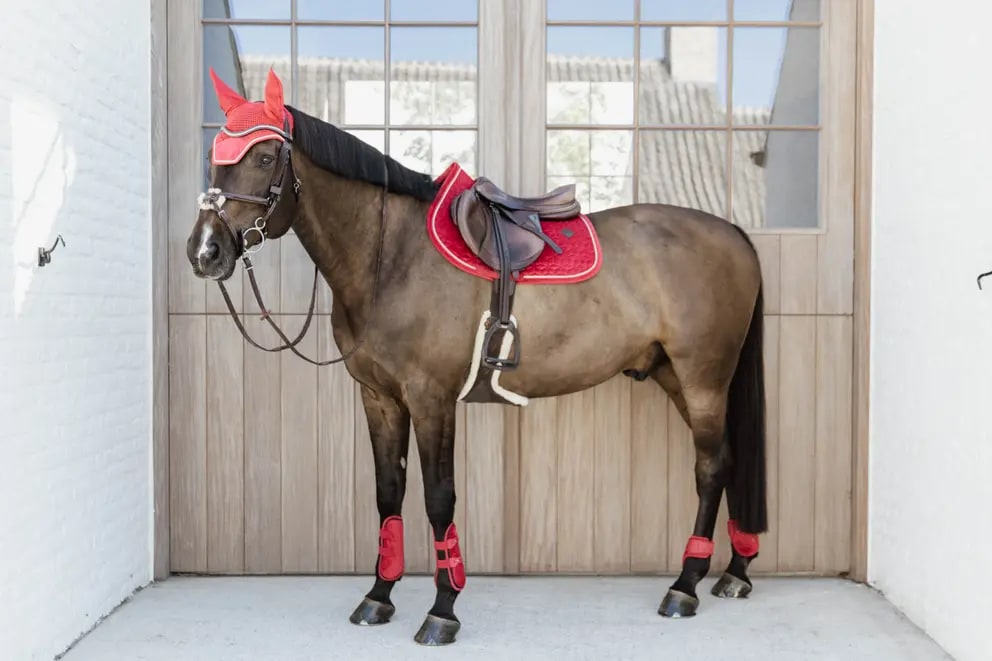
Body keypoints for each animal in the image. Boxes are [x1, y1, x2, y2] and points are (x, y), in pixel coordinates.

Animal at [186, 68, 768, 646]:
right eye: (215, 154)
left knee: (711, 468)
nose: (205, 251)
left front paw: (442, 609)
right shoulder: (379, 397)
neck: (391, 258)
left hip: (703, 378)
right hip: (675, 376)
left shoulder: (431, 399)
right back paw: (733, 572)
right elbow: (388, 493)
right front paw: (379, 596)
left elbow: (438, 498)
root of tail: (735, 233)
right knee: (728, 462)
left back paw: (685, 585)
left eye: (265, 157)